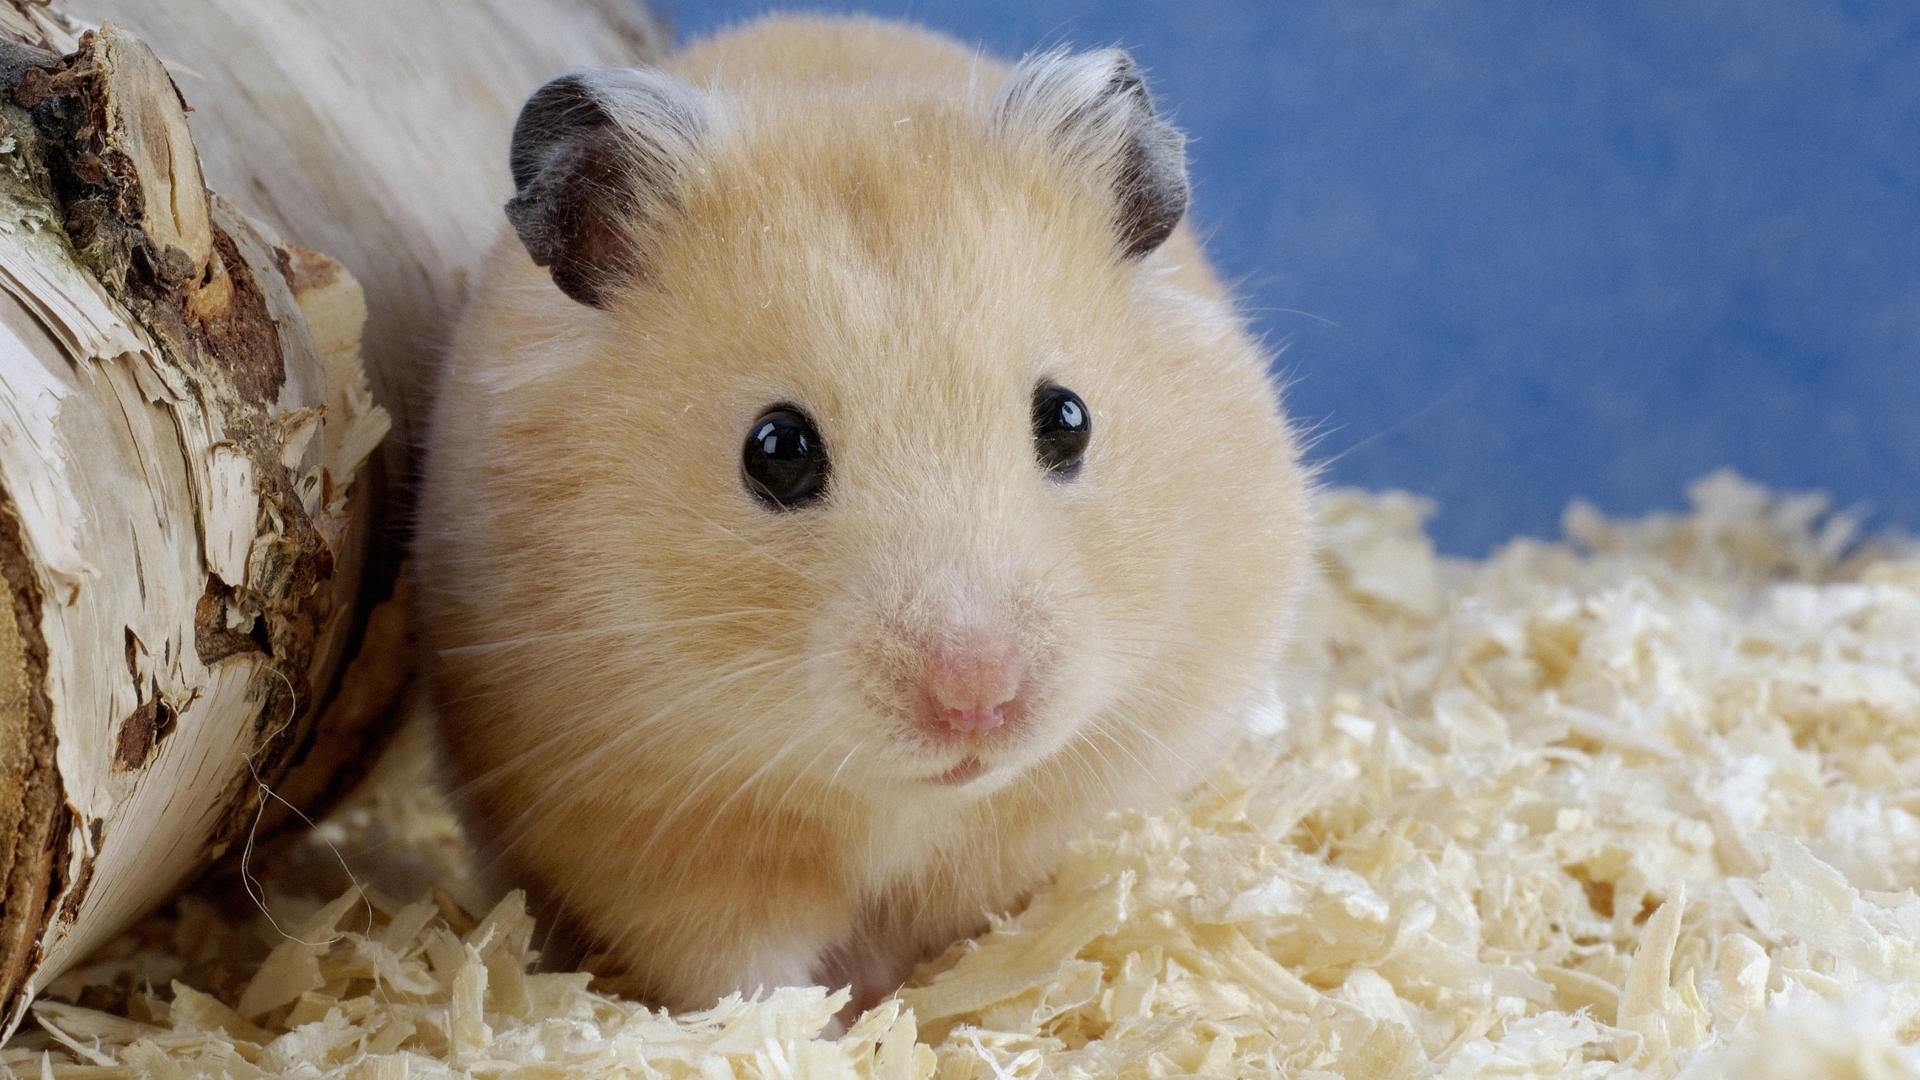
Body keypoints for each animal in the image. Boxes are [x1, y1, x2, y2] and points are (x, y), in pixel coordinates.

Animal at [412, 14, 1313, 1013]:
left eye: (1068, 419)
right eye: (777, 450)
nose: (978, 701)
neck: (902, 800)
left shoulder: (1073, 800)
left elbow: (978, 928)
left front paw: (924, 1004)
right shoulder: (651, 832)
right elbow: (742, 972)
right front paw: (830, 1026)